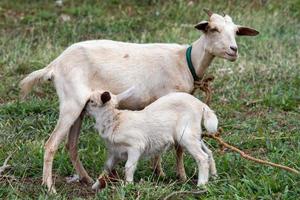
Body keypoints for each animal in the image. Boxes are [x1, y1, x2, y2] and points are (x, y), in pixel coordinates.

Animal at [86, 88, 218, 189]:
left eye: (91, 101)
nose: (84, 107)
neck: (115, 121)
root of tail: (201, 105)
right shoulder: (115, 152)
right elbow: (106, 168)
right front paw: (95, 186)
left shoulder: (136, 145)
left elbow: (129, 167)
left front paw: (128, 186)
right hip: (194, 134)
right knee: (208, 152)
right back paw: (214, 176)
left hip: (186, 135)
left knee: (202, 157)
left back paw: (201, 184)